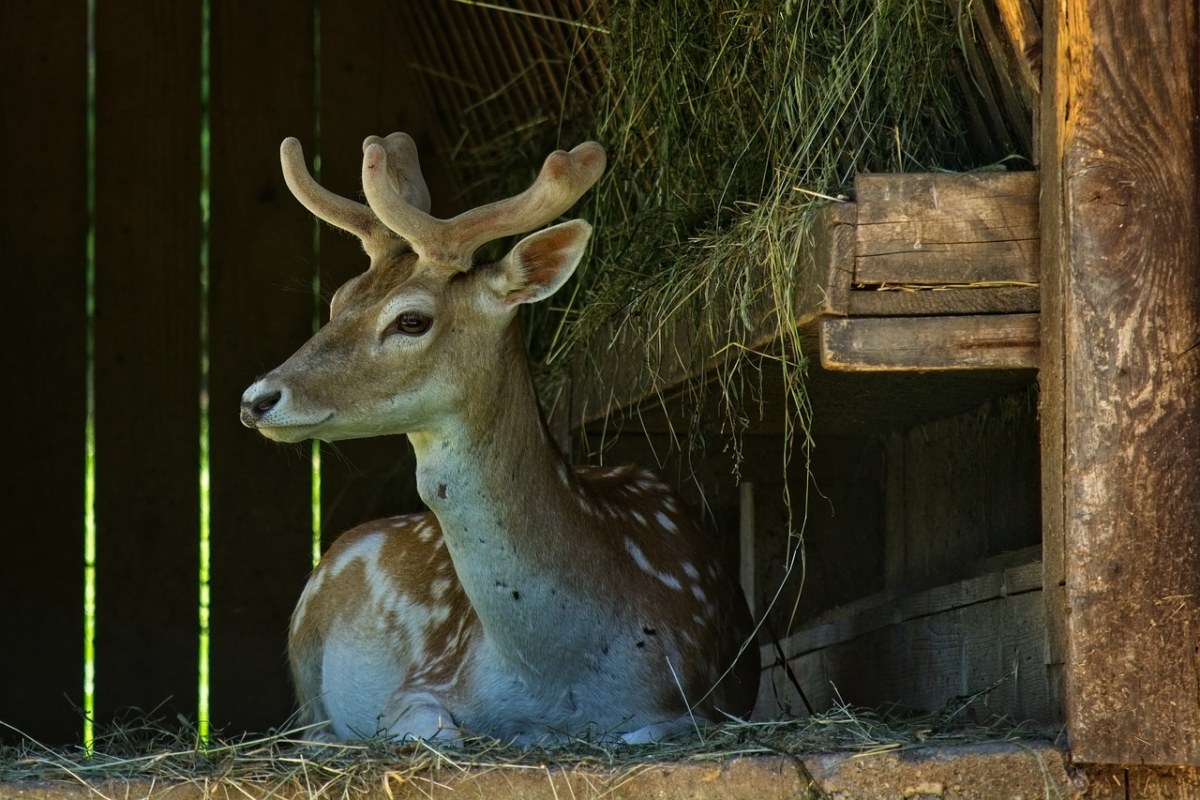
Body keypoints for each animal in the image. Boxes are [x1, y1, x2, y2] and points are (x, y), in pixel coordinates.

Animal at [241, 133, 758, 743]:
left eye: (411, 320)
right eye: (338, 301)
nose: (256, 399)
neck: (561, 672)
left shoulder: (699, 705)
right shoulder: (418, 686)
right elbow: (444, 731)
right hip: (304, 652)